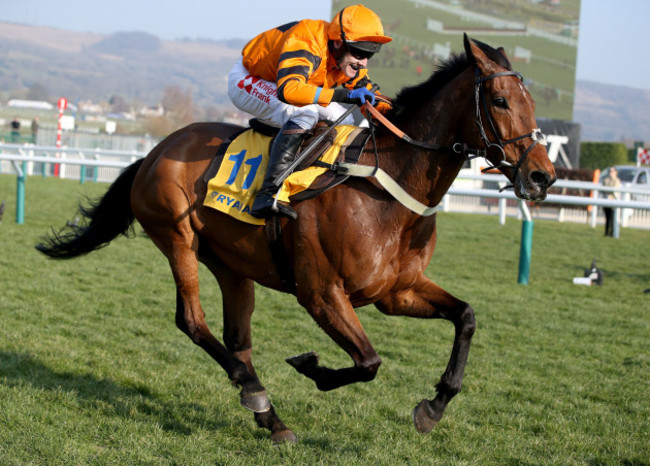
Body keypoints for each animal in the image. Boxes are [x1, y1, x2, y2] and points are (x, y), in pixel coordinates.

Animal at [36, 34, 552, 442]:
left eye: (532, 102)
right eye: (501, 101)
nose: (541, 175)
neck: (384, 184)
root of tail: (155, 151)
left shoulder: (396, 291)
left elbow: (465, 317)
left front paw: (434, 406)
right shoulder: (320, 292)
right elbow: (369, 361)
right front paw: (311, 367)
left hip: (232, 265)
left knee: (236, 337)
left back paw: (269, 415)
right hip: (176, 237)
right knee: (192, 321)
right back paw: (254, 391)